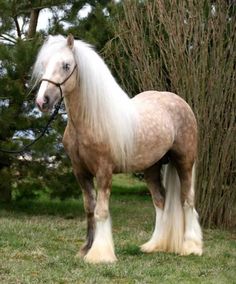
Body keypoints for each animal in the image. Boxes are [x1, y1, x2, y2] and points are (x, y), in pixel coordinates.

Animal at [32, 34, 203, 262]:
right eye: (44, 64)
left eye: (66, 65)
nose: (42, 101)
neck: (90, 120)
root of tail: (179, 102)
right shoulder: (80, 172)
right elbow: (89, 209)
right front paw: (86, 249)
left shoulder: (104, 171)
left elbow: (101, 211)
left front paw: (100, 254)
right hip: (151, 168)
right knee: (160, 202)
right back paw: (154, 245)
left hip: (184, 162)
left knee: (187, 200)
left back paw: (191, 246)